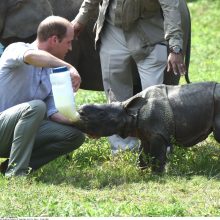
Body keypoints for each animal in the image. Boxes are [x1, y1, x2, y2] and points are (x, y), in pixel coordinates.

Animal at [73, 82, 220, 172]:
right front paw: (141, 170)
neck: (131, 113)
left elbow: (156, 155)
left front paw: (157, 174)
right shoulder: (143, 133)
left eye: (102, 114)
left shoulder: (158, 135)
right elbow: (141, 152)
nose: (79, 111)